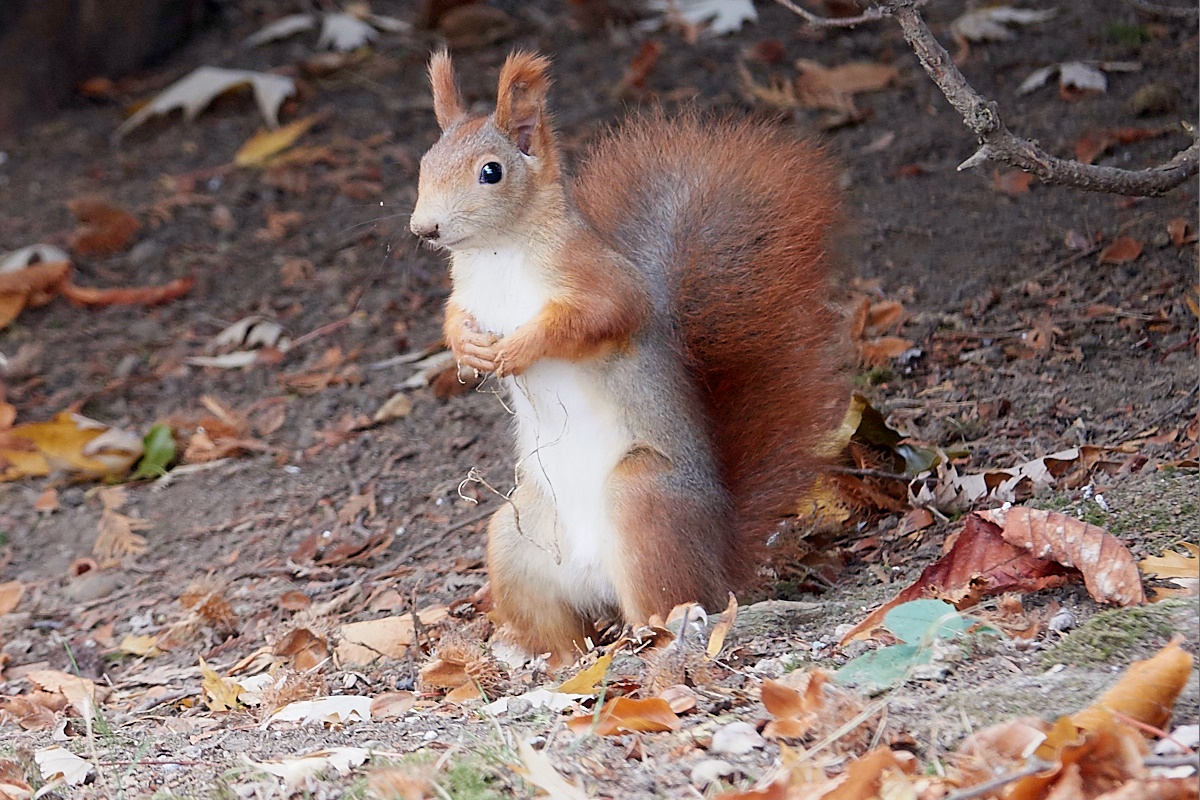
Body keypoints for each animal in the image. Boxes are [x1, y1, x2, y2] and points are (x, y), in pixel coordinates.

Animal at [412, 51, 844, 662]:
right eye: (425, 163)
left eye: (490, 171)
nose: (424, 228)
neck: (497, 255)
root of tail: (720, 555)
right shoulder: (466, 295)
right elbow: (453, 319)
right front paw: (468, 348)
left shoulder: (601, 281)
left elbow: (588, 319)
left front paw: (521, 346)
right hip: (515, 539)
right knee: (563, 633)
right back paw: (541, 656)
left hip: (641, 501)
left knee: (665, 603)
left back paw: (655, 635)